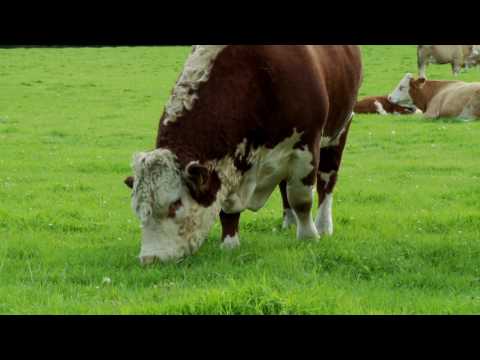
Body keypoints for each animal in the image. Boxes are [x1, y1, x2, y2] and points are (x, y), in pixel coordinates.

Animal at [124, 45, 364, 264]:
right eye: (137, 209)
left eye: (175, 204)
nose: (150, 258)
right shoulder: (230, 164)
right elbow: (228, 210)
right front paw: (229, 244)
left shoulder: (306, 145)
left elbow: (301, 198)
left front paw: (308, 236)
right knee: (284, 185)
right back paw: (289, 221)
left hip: (340, 129)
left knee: (326, 182)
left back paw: (323, 225)